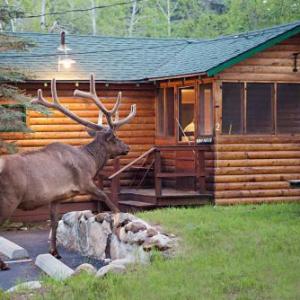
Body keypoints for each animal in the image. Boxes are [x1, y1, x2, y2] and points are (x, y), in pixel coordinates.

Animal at [0, 74, 136, 270]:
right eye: (115, 138)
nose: (127, 147)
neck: (91, 161)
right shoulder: (85, 181)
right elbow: (107, 198)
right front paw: (121, 219)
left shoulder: (55, 197)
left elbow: (54, 223)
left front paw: (55, 252)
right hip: (9, 198)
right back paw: (3, 264)